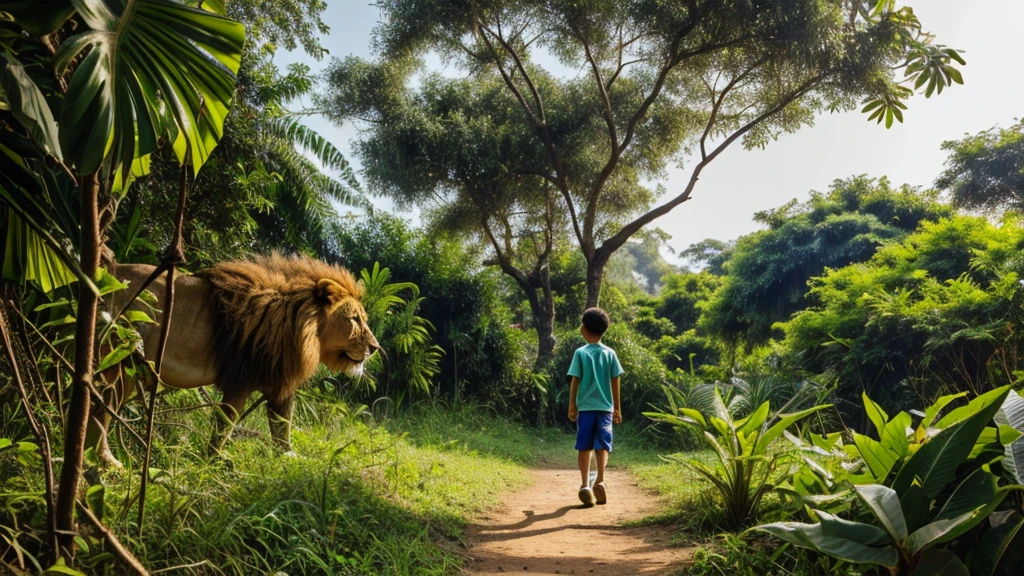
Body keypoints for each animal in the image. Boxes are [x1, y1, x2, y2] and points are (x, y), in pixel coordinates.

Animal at [92, 253, 380, 464]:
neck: (304, 329)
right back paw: (107, 462)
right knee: (101, 409)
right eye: (354, 319)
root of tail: (113, 270)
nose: (375, 347)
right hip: (123, 361)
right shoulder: (241, 381)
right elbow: (225, 424)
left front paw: (290, 457)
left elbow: (282, 427)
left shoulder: (280, 384)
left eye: (362, 319)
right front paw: (215, 459)